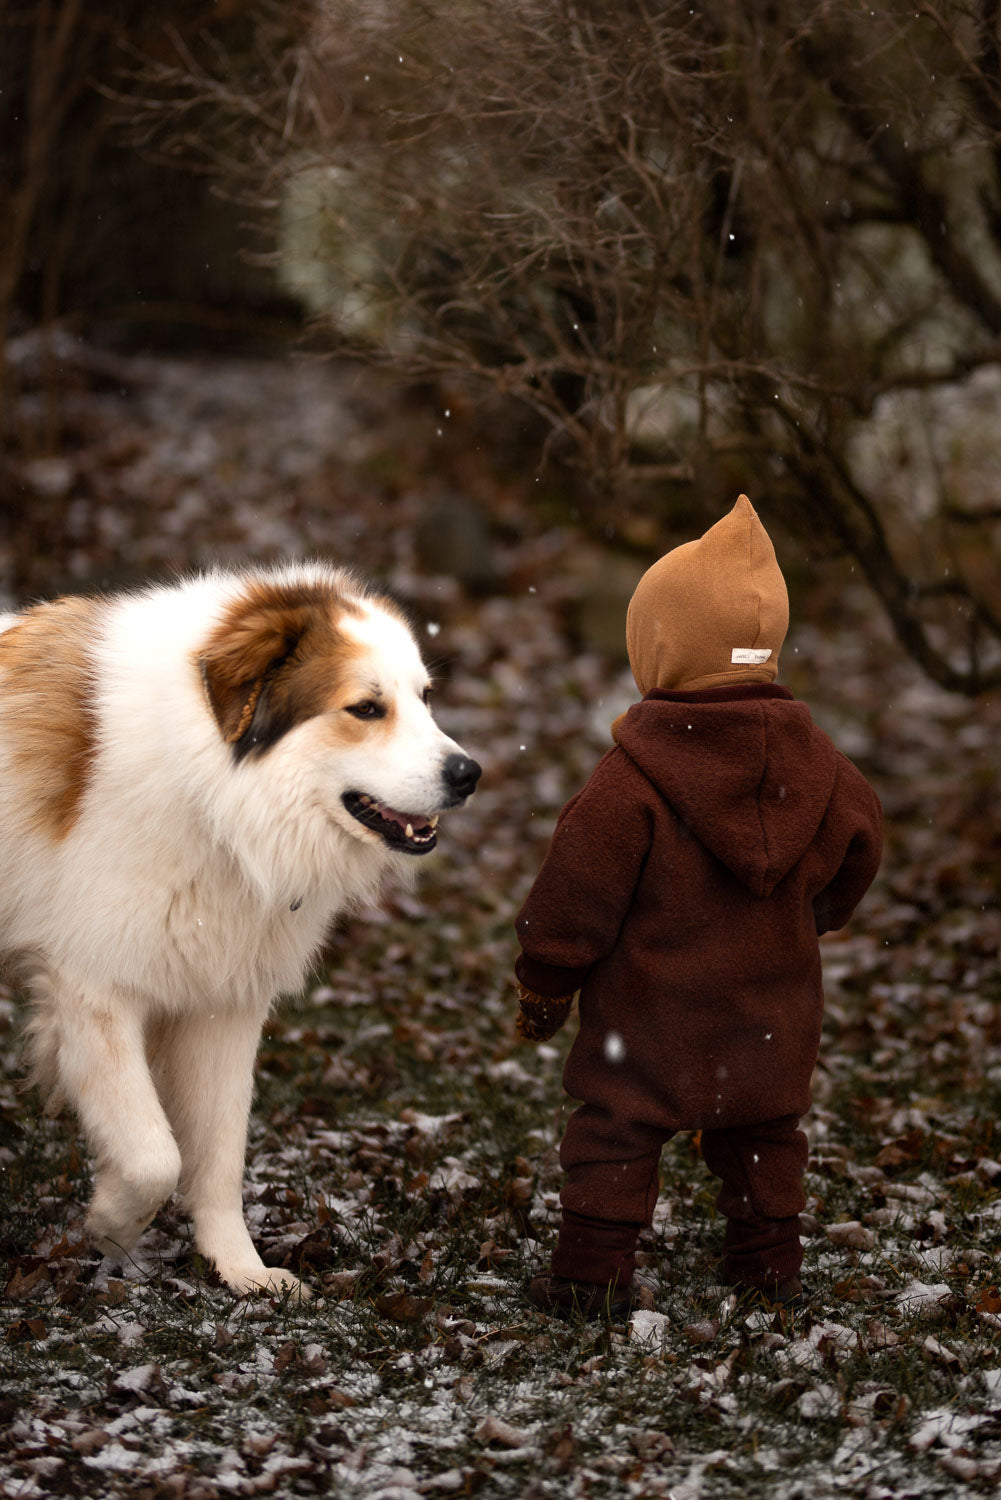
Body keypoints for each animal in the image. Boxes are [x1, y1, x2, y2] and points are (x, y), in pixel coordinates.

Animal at [0, 567, 480, 1296]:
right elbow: (154, 1155)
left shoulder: (222, 1004)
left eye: (424, 699)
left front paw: (240, 1270)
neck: (216, 799)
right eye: (367, 709)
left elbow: (220, 1154)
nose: (469, 775)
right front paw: (111, 1225)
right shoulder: (93, 990)